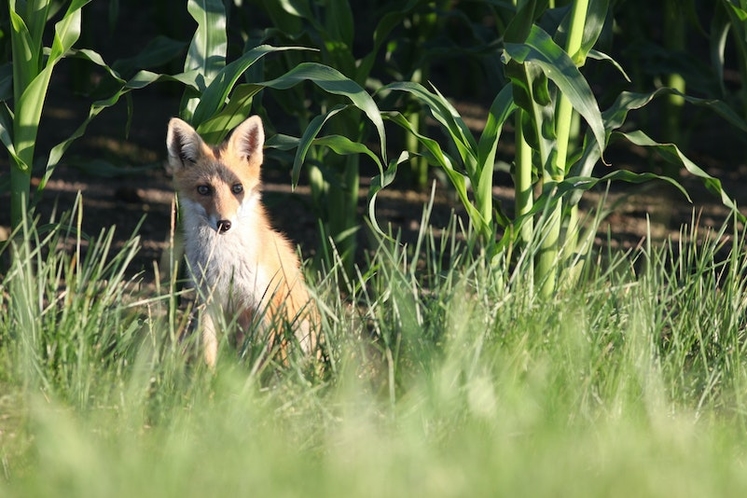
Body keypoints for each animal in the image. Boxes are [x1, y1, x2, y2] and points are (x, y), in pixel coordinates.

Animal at [167, 115, 318, 368]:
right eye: (204, 189)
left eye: (237, 188)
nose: (224, 224)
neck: (225, 262)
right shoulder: (208, 301)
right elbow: (208, 351)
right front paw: (207, 378)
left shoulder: (261, 303)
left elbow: (257, 355)